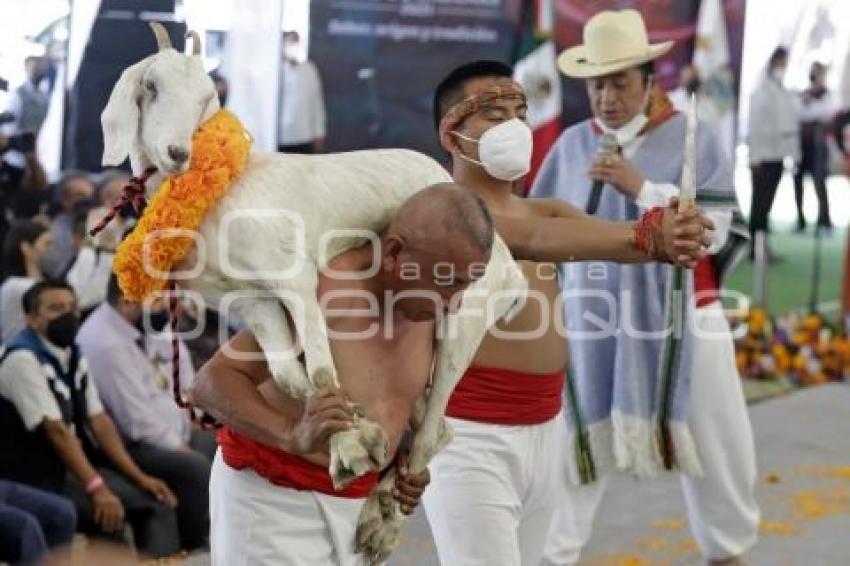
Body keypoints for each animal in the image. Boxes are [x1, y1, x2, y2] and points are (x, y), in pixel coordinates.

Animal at [102, 24, 528, 564]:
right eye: (150, 87)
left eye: (204, 97)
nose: (179, 154)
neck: (220, 196)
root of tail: (509, 262)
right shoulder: (249, 300)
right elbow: (290, 375)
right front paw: (358, 431)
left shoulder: (295, 278)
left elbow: (323, 369)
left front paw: (348, 448)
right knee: (437, 422)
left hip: (467, 314)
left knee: (434, 424)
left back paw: (381, 523)